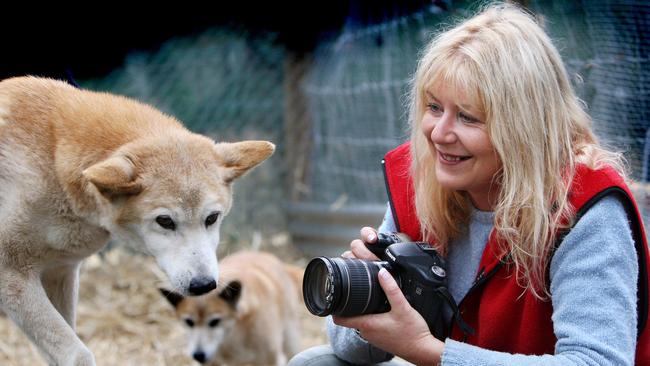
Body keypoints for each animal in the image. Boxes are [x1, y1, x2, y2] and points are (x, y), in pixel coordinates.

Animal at [0, 76, 270, 364]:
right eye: (165, 221)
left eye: (212, 218)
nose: (203, 285)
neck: (53, 155)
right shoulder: (13, 275)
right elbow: (77, 354)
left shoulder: (61, 271)